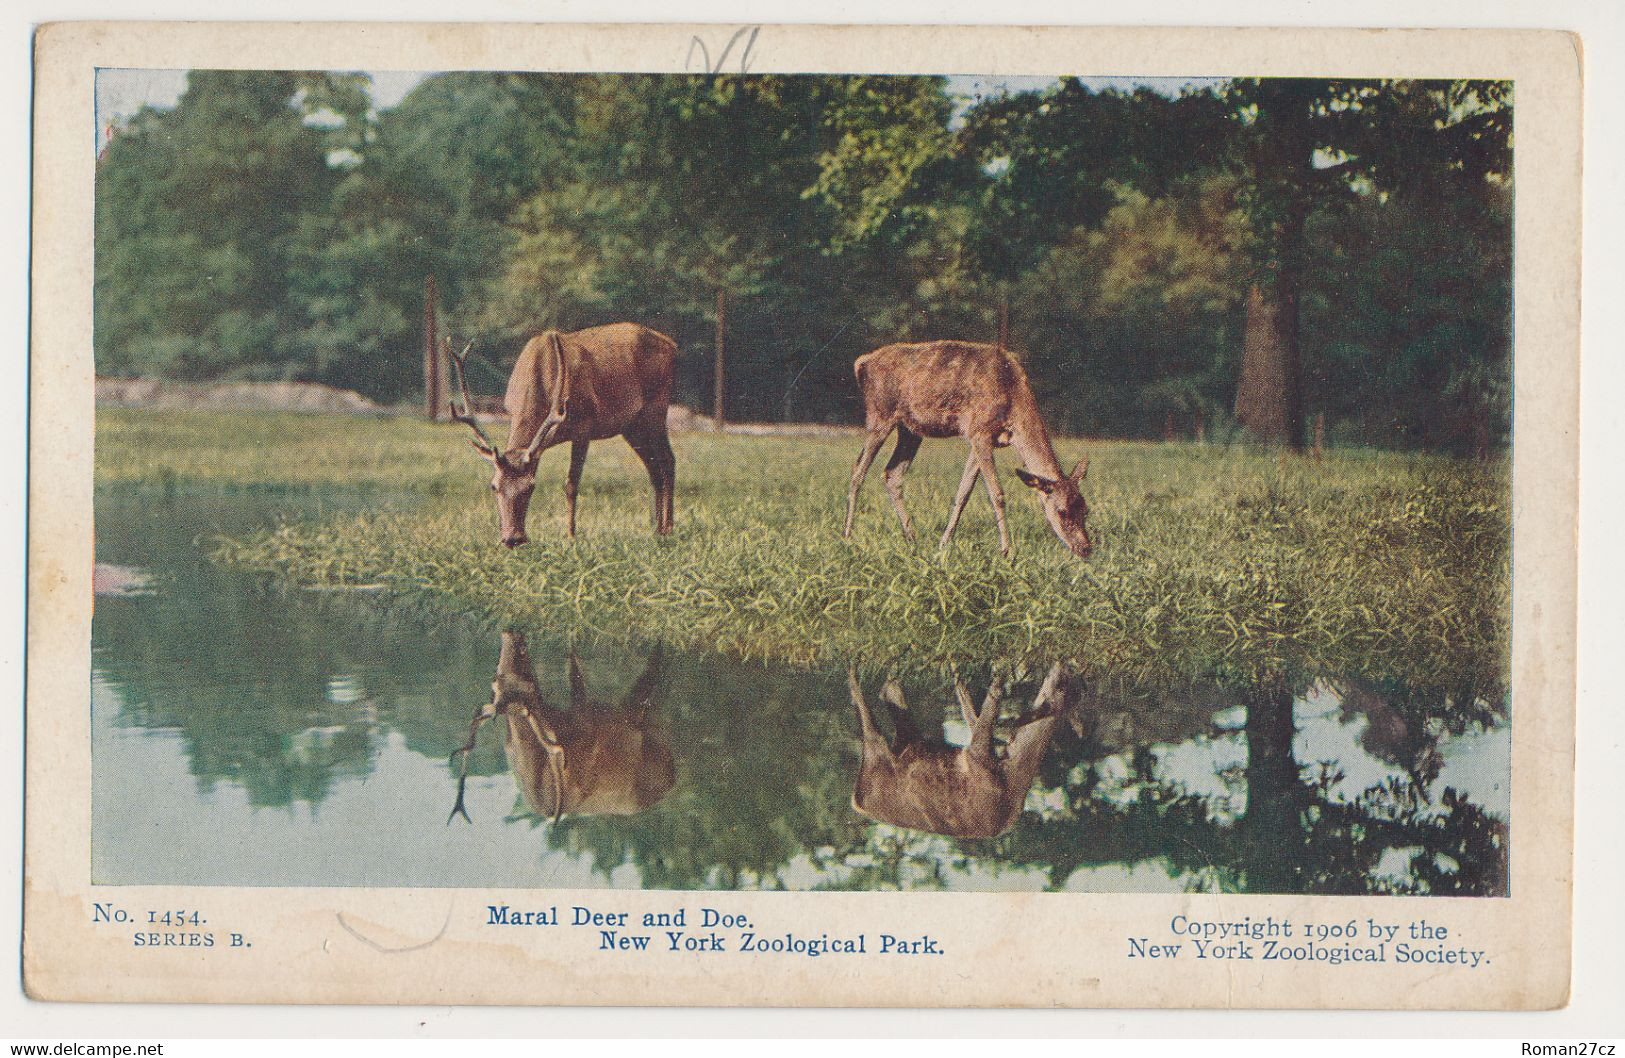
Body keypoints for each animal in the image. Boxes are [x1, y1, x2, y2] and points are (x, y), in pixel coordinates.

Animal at [445, 323, 679, 546]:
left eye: (531, 487)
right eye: (494, 486)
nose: (513, 539)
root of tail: (672, 344)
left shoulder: (584, 426)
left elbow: (571, 484)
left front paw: (571, 536)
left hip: (656, 406)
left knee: (668, 459)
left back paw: (668, 528)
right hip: (632, 425)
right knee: (653, 468)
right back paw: (654, 527)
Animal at [838, 341, 1092, 559]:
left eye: (1085, 509)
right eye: (1061, 511)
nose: (1086, 548)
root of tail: (862, 363)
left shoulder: (983, 439)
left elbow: (963, 493)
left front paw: (943, 544)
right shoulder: (980, 431)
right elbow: (997, 494)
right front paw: (1007, 551)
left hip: (910, 429)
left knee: (892, 473)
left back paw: (912, 537)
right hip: (880, 414)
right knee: (857, 471)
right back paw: (848, 536)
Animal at [845, 666, 1072, 838]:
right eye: (1063, 686)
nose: (1061, 666)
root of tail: (856, 802)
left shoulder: (977, 758)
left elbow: (979, 716)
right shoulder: (978, 757)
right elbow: (978, 713)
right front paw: (992, 674)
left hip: (895, 749)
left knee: (885, 706)